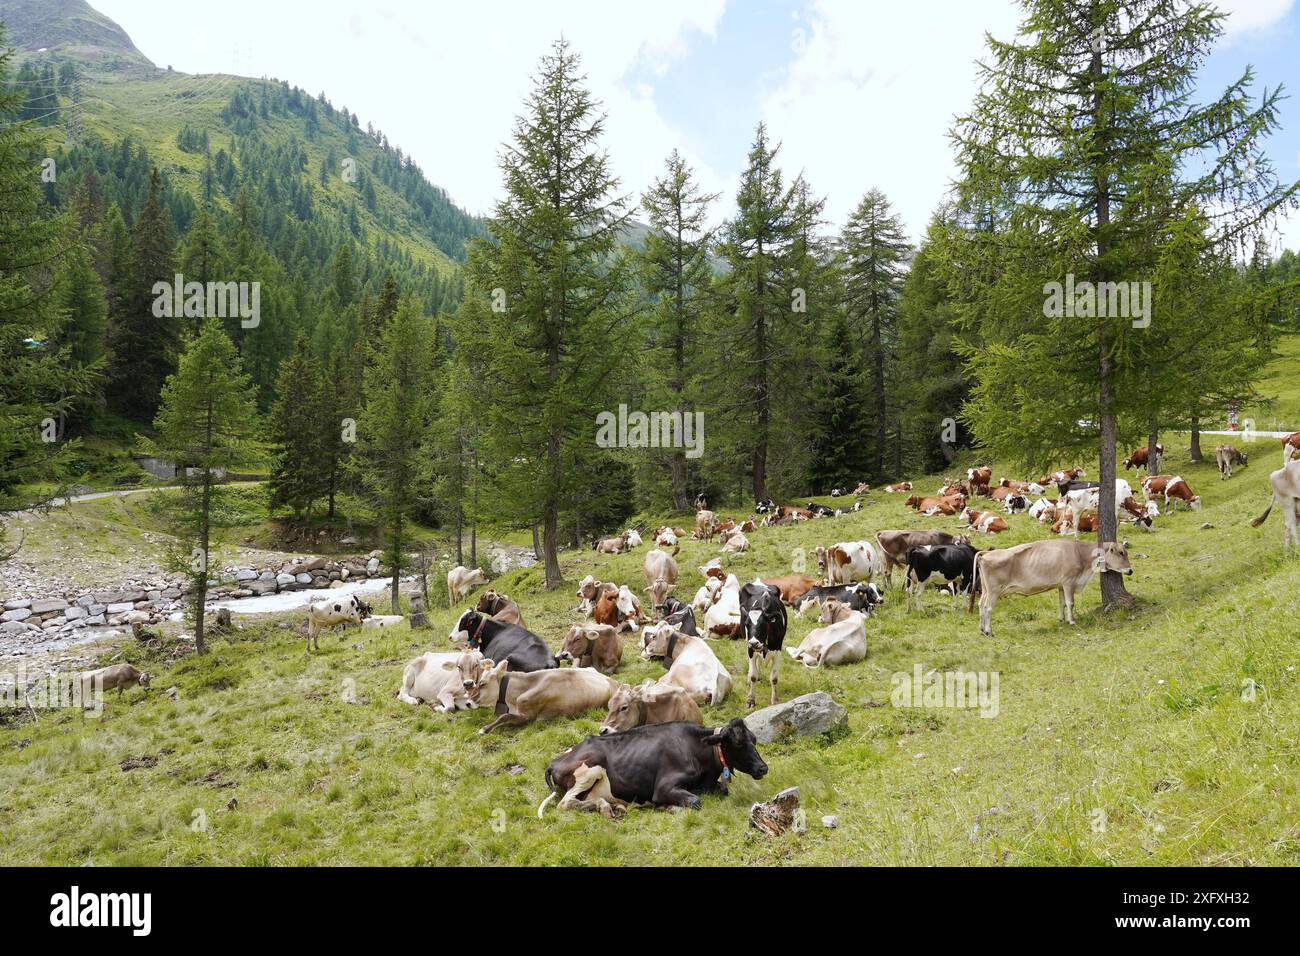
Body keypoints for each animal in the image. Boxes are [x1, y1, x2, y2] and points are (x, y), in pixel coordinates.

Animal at [538, 718, 767, 817]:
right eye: (738, 743)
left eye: (754, 739)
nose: (763, 768)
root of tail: (555, 761)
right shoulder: (664, 787)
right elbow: (695, 801)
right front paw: (669, 807)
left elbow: (722, 789)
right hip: (589, 770)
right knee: (566, 803)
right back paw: (604, 807)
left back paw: (614, 807)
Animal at [739, 580, 786, 709]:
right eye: (746, 624)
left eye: (763, 624)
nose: (753, 642)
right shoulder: (750, 649)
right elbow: (753, 676)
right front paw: (750, 700)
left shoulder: (778, 651)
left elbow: (774, 678)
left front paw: (775, 700)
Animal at [970, 538, 1133, 636]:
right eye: (1121, 553)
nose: (1131, 570)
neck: (1080, 553)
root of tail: (987, 553)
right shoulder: (1068, 582)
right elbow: (1070, 603)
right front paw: (1072, 621)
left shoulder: (1061, 585)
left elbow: (1062, 603)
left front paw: (1061, 620)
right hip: (994, 590)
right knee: (988, 608)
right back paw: (989, 631)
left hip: (986, 590)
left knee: (980, 605)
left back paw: (981, 629)